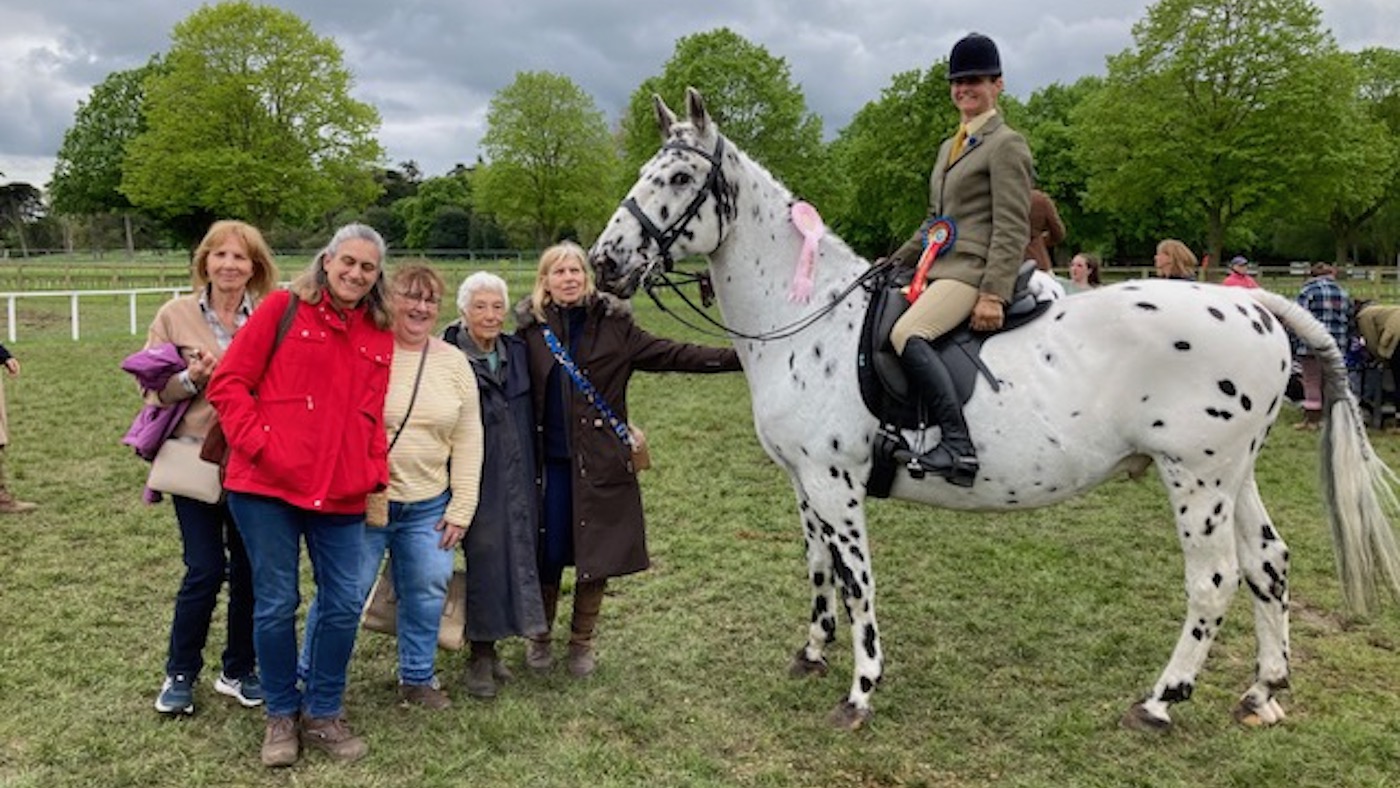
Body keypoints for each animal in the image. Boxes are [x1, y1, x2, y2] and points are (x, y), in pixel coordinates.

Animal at [589, 88, 1400, 730]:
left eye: (680, 176)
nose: (604, 262)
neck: (809, 320)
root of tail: (1254, 306)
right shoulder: (803, 481)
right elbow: (819, 567)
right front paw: (813, 652)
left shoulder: (833, 482)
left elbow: (856, 578)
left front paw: (861, 690)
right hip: (1234, 475)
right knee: (1269, 564)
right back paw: (1263, 690)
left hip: (1196, 478)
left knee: (1215, 580)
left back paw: (1162, 700)